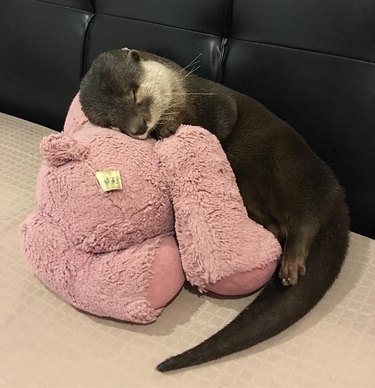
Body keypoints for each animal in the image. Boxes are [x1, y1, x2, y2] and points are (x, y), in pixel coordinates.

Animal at [80, 49, 352, 372]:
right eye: (111, 123)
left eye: (133, 92)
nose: (138, 128)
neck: (184, 92)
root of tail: (337, 191)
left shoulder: (217, 101)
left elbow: (220, 120)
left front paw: (171, 126)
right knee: (278, 226)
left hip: (290, 165)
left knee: (307, 218)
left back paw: (291, 263)